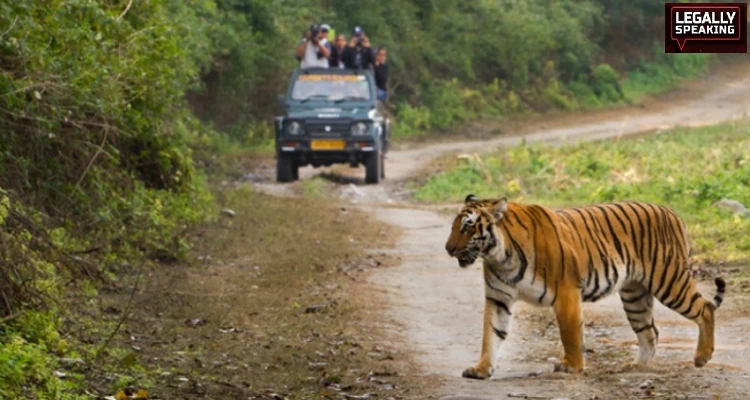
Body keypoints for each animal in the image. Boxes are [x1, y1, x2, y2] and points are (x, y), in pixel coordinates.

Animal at [446, 195, 728, 380]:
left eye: (468, 226)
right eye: (454, 226)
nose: (448, 248)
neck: (499, 256)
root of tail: (673, 213)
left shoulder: (566, 292)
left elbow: (569, 333)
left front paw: (572, 366)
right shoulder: (498, 299)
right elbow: (491, 334)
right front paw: (481, 369)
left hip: (670, 282)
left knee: (705, 309)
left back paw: (702, 357)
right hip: (635, 296)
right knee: (650, 332)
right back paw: (636, 366)